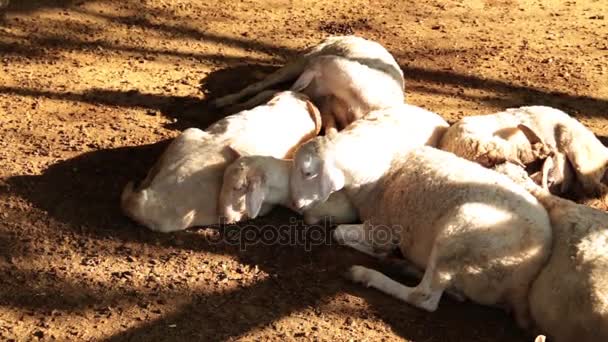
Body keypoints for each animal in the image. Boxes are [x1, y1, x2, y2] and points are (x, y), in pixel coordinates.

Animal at [292, 113, 552, 328]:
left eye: (308, 173)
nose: (296, 205)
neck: (380, 169)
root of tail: (523, 282)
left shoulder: (381, 227)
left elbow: (339, 233)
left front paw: (379, 252)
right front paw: (386, 254)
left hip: (457, 236)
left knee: (423, 297)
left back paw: (368, 274)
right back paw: (406, 267)